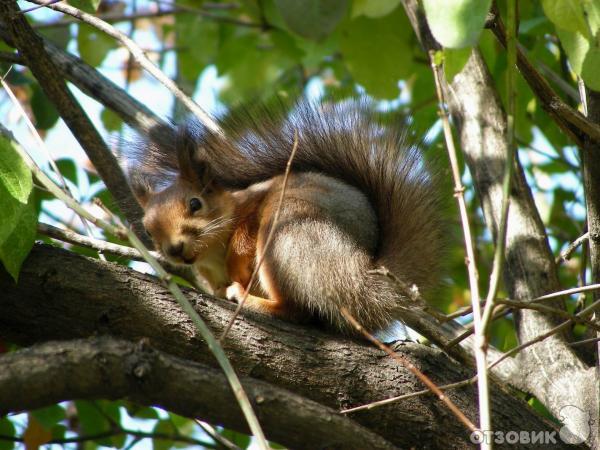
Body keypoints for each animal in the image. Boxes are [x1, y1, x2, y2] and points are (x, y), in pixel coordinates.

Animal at [127, 101, 446, 334]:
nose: (174, 249)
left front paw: (236, 263)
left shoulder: (257, 204)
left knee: (297, 311)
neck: (211, 254)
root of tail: (361, 277)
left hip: (289, 232)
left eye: (196, 203)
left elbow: (244, 236)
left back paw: (249, 299)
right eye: (148, 229)